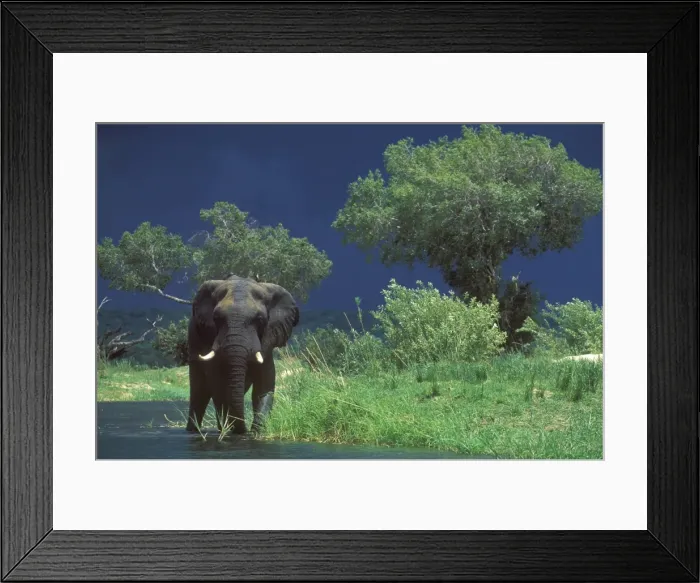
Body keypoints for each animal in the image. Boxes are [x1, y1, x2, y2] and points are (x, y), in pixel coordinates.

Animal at [185, 274, 299, 435]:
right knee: (199, 392)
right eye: (216, 318)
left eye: (260, 319)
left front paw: (257, 432)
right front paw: (231, 429)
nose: (244, 431)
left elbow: (263, 387)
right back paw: (195, 430)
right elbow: (218, 385)